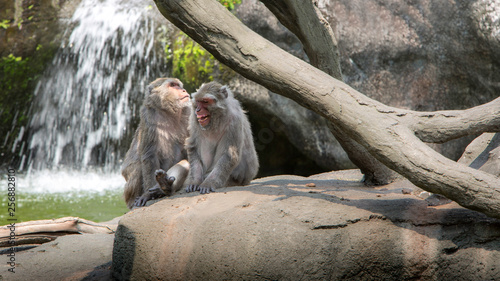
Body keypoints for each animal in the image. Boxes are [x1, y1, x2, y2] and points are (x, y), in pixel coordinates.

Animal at [122, 77, 190, 208]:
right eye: (173, 85)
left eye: (179, 85)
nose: (183, 90)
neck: (170, 112)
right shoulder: (149, 118)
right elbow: (149, 157)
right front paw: (147, 195)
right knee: (138, 167)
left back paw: (165, 186)